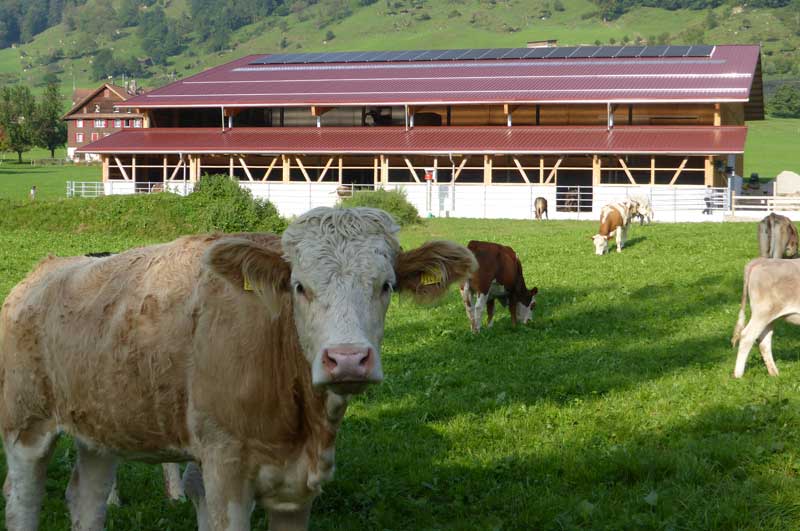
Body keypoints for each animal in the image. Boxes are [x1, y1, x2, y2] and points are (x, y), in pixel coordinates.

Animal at [0, 208, 476, 531]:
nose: (346, 359)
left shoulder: (295, 488)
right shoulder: (223, 469)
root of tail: (47, 269)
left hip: (100, 426)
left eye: (387, 286)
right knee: (22, 500)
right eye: (299, 286)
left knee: (87, 499)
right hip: (25, 425)